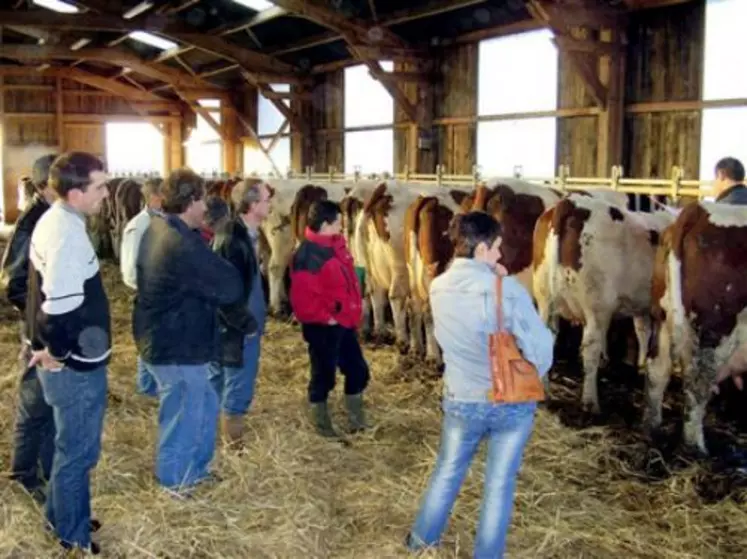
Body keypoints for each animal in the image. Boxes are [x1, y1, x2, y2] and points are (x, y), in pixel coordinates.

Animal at [532, 195, 676, 414]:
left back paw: (545, 392)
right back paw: (590, 402)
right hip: (597, 306)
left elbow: (642, 330)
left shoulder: (642, 307)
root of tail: (571, 202)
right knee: (591, 348)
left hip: (545, 297)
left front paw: (642, 365)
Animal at [644, 203, 747, 458]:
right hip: (715, 330)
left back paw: (653, 429)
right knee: (697, 381)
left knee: (657, 370)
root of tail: (697, 210)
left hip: (660, 317)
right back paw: (696, 448)